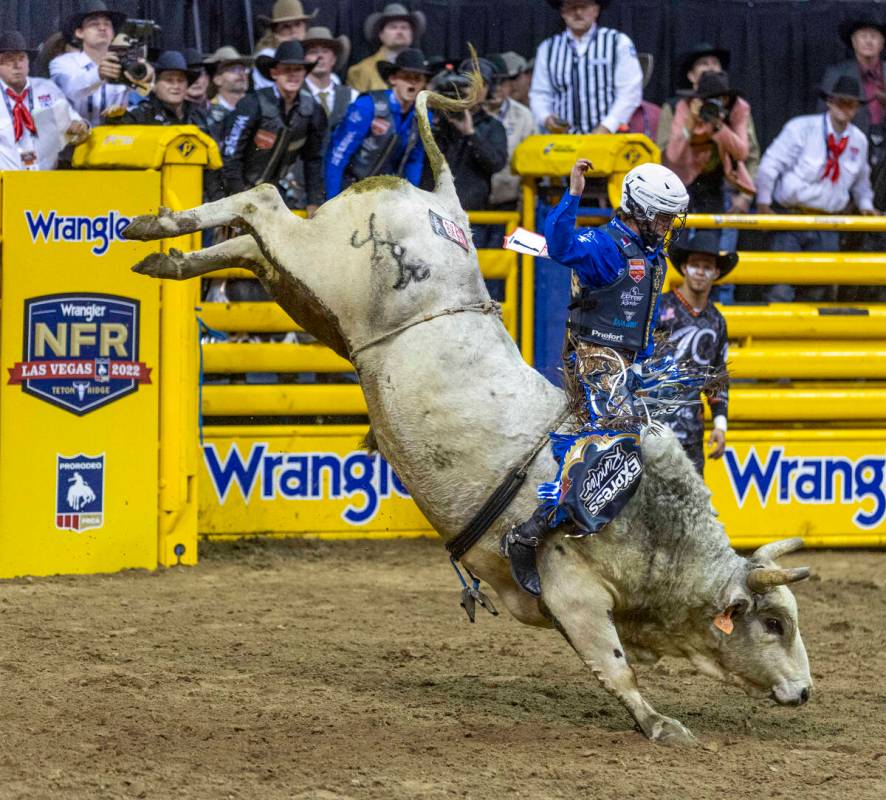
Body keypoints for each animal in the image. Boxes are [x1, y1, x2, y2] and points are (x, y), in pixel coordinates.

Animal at [123, 78, 812, 748]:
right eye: (774, 623)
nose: (806, 692)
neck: (651, 525)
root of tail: (441, 200)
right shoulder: (572, 588)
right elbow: (614, 665)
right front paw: (661, 724)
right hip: (319, 260)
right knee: (263, 199)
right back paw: (152, 224)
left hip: (308, 296)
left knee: (248, 244)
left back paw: (167, 257)